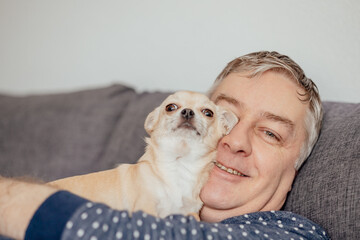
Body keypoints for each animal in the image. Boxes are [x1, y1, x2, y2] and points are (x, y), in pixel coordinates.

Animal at [49, 90, 238, 218]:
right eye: (170, 107)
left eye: (208, 113)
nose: (187, 111)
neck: (179, 164)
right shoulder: (146, 207)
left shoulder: (188, 212)